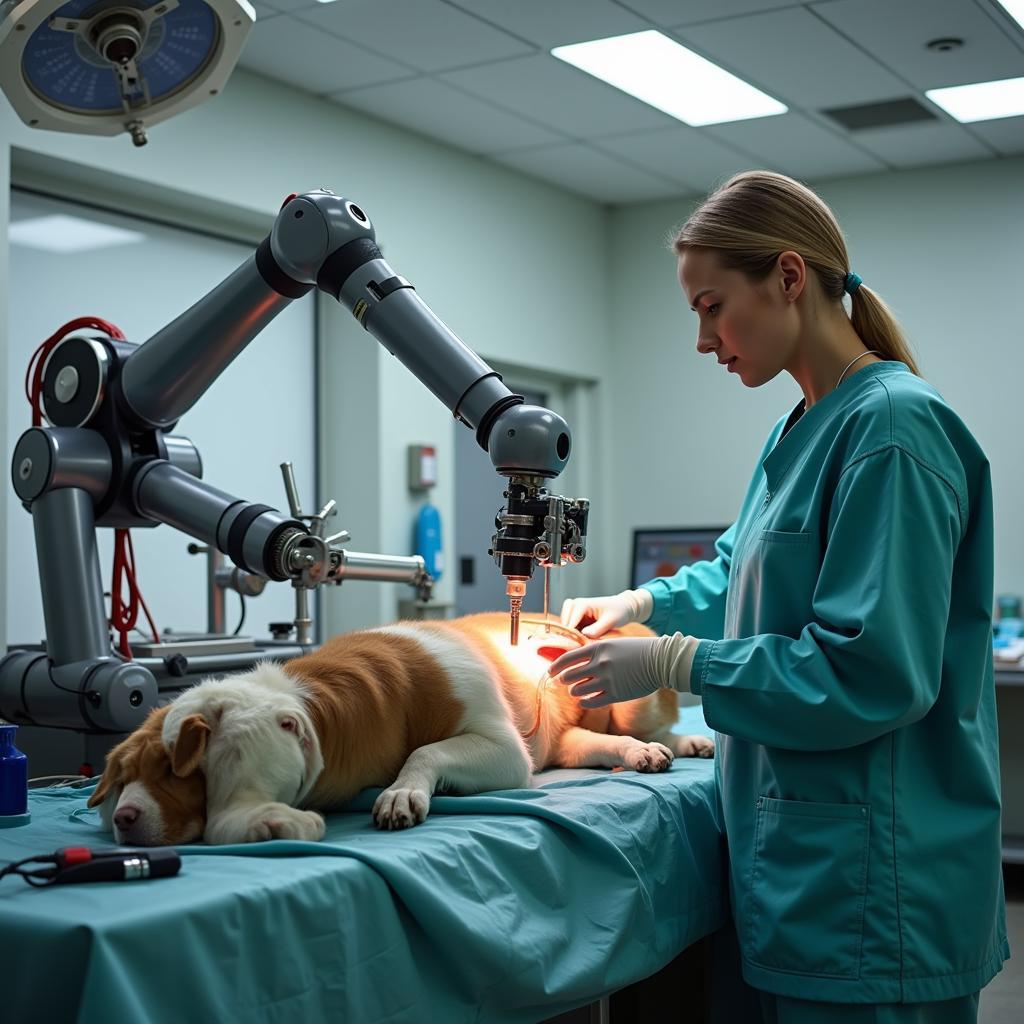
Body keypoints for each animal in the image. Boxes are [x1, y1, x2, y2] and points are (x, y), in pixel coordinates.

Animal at [88, 610, 712, 843]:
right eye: (121, 779)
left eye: (180, 771)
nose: (124, 817)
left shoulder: (503, 749)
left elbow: (427, 752)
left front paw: (400, 794)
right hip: (565, 739)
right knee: (591, 742)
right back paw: (639, 753)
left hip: (630, 681)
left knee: (648, 718)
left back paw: (685, 740)